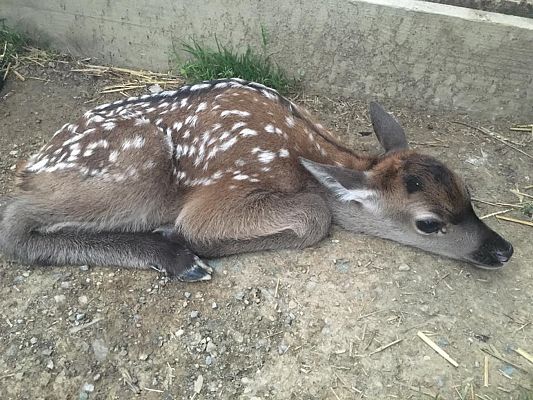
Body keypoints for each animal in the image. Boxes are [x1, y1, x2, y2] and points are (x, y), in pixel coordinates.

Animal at [0, 78, 512, 282]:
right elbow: (316, 216)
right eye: (429, 223)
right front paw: (182, 239)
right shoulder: (223, 190)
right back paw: (177, 258)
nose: (504, 250)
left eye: (469, 193)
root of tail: (32, 166)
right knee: (15, 222)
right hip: (136, 168)